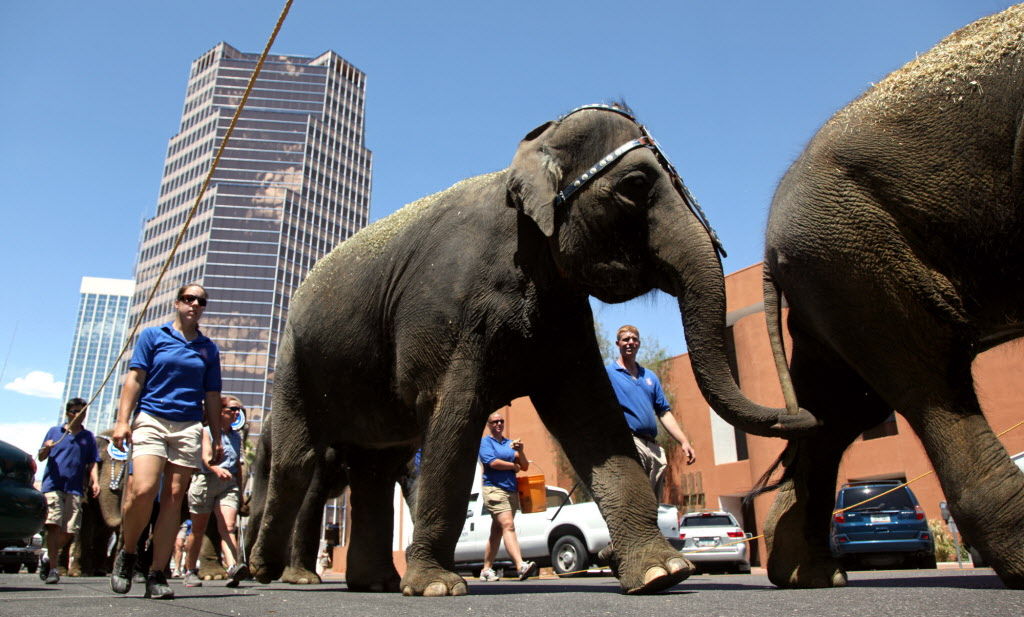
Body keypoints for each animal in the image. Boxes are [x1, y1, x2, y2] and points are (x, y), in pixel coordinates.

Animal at [243, 102, 811, 597]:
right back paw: (271, 574)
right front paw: (437, 588)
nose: (805, 415)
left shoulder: (563, 314)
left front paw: (662, 574)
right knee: (298, 461)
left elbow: (593, 418)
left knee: (377, 469)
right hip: (293, 361)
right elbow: (456, 418)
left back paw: (374, 583)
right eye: (635, 185)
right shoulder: (448, 313)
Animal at [745, 6, 1024, 593]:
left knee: (837, 407)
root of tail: (769, 243)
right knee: (927, 376)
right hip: (856, 256)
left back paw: (809, 574)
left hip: (834, 271)